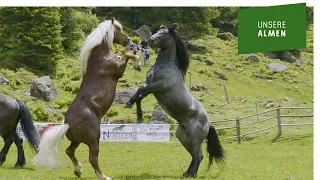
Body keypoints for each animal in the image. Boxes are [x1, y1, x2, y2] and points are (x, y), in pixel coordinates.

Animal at [32, 17, 141, 180]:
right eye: (119, 28)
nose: (128, 39)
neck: (101, 57)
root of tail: (67, 124)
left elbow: (127, 53)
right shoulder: (118, 70)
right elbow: (128, 55)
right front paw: (138, 65)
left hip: (78, 140)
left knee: (70, 151)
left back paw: (78, 171)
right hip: (94, 139)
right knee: (92, 158)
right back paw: (103, 176)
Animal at [126, 23, 226, 177]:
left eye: (164, 34)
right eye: (157, 31)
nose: (148, 41)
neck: (166, 67)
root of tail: (208, 124)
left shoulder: (158, 87)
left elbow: (140, 90)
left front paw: (129, 104)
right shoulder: (152, 89)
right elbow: (139, 95)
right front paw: (139, 115)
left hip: (195, 138)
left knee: (199, 155)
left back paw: (190, 175)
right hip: (183, 137)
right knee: (195, 155)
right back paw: (188, 173)